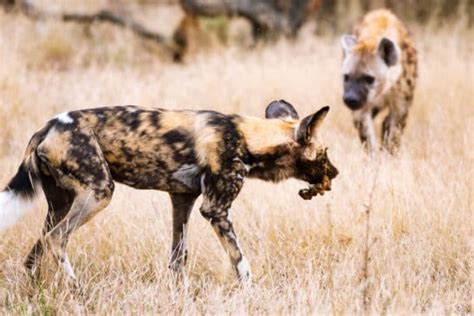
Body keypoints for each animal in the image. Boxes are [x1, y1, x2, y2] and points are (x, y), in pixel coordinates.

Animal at [1, 101, 338, 286]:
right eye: (324, 154)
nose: (335, 174)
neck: (247, 138)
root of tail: (48, 127)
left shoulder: (182, 200)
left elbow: (178, 259)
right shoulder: (216, 209)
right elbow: (241, 262)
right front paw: (250, 294)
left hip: (61, 204)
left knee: (36, 250)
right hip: (99, 192)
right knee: (57, 239)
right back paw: (78, 291)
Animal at [342, 9, 416, 153]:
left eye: (369, 78)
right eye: (346, 77)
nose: (350, 99)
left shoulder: (402, 99)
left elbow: (395, 131)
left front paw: (389, 154)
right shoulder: (361, 108)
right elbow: (366, 133)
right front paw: (373, 156)